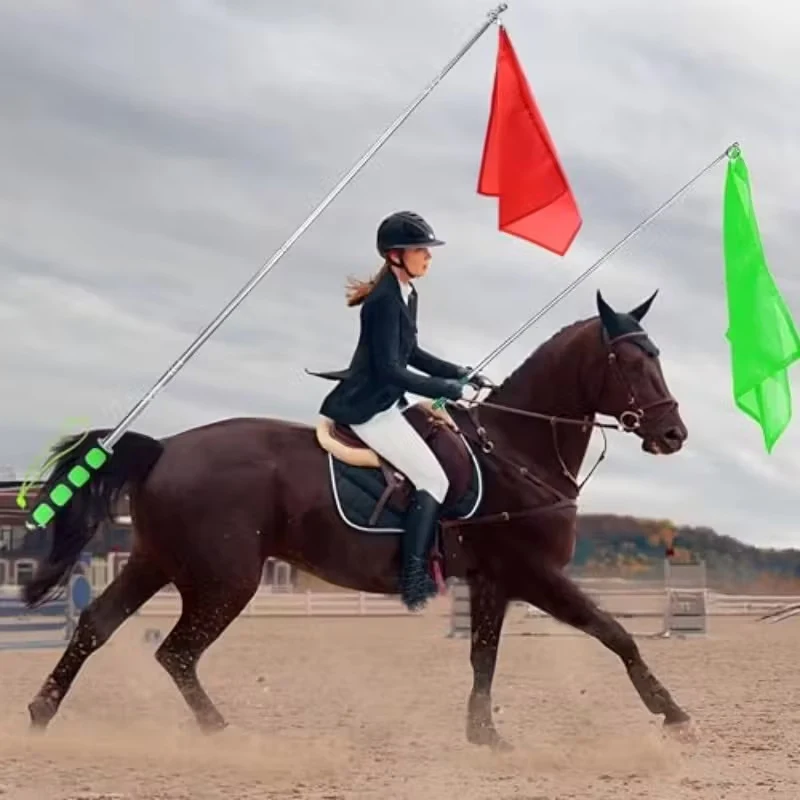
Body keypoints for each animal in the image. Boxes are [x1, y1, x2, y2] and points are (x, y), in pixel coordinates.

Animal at [21, 289, 692, 750]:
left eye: (659, 357)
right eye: (630, 363)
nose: (674, 434)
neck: (517, 447)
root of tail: (163, 447)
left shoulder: (494, 582)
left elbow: (484, 657)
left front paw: (484, 736)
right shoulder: (533, 574)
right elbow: (615, 632)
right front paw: (673, 713)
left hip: (156, 561)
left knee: (97, 626)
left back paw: (41, 714)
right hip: (223, 580)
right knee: (176, 654)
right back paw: (223, 733)